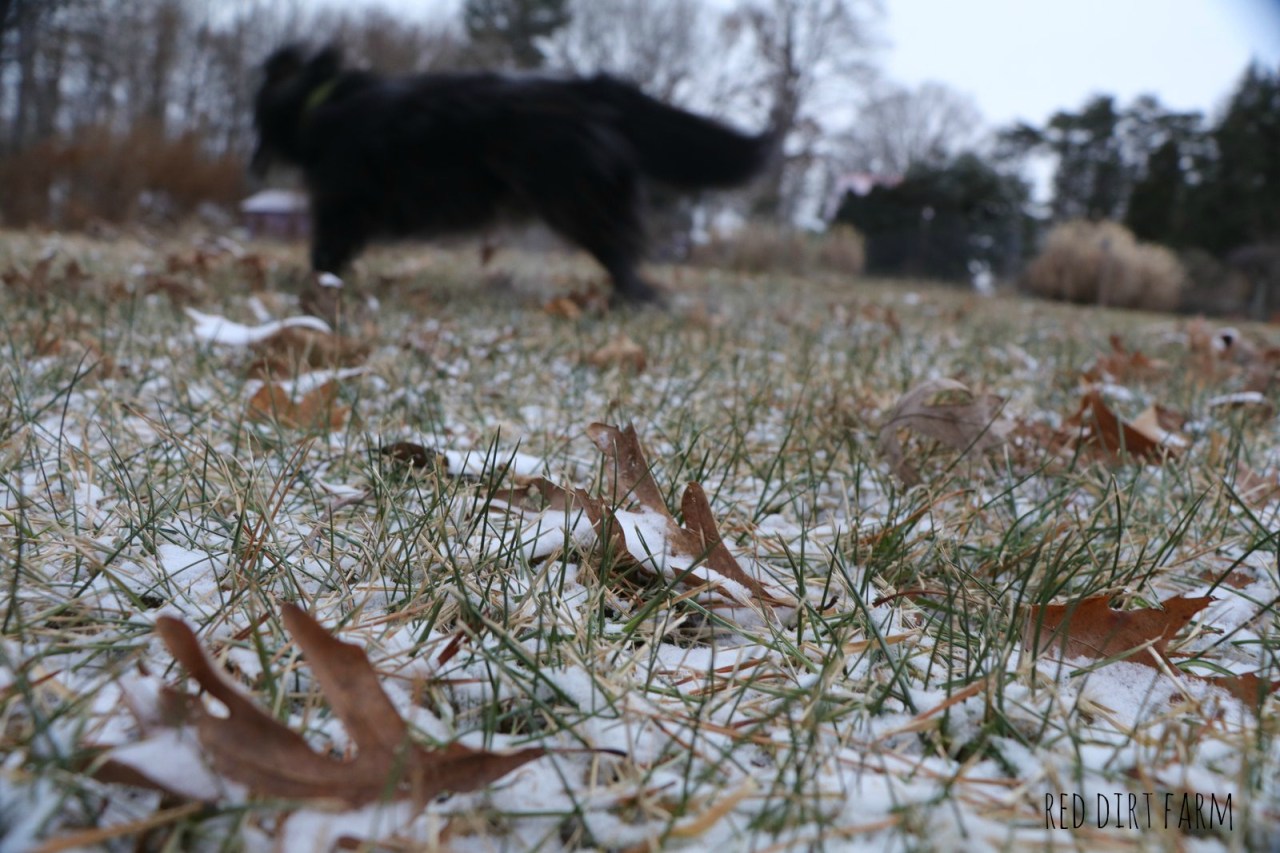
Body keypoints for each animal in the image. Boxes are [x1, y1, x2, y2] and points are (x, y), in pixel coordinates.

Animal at [251, 45, 776, 304]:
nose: (254, 164)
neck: (319, 100)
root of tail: (592, 91)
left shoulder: (341, 203)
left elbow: (324, 252)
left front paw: (315, 287)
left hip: (576, 201)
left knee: (621, 255)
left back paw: (635, 300)